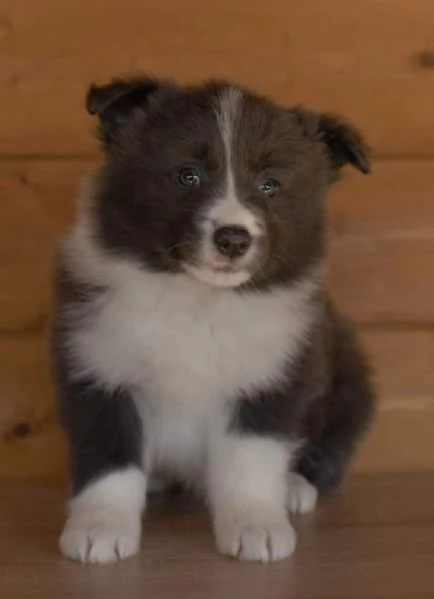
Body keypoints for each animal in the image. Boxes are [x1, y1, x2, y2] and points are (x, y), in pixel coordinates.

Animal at [50, 77, 374, 564]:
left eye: (270, 185)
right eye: (188, 175)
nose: (233, 238)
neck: (199, 299)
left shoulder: (272, 375)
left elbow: (250, 459)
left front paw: (257, 526)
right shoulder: (98, 367)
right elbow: (108, 456)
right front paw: (98, 529)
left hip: (351, 384)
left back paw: (293, 487)